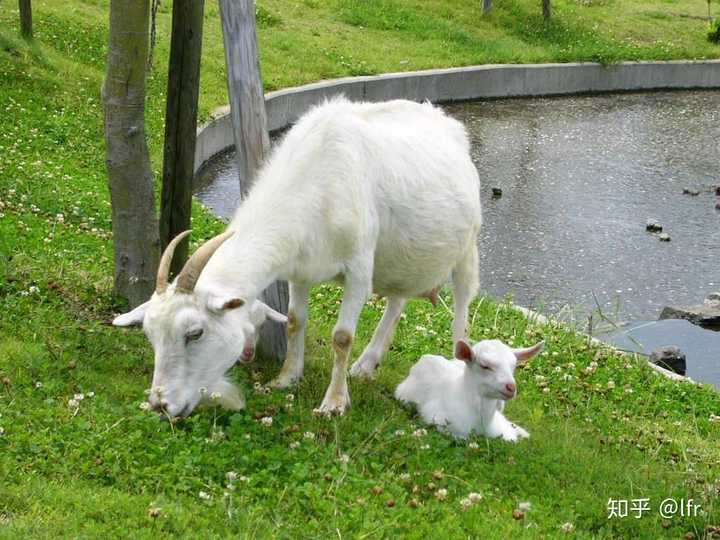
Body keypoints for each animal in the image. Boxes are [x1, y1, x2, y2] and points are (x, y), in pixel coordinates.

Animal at [114, 97, 478, 418]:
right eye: (150, 335)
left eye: (195, 333)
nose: (161, 405)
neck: (318, 181)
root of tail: (444, 119)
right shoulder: (300, 269)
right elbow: (293, 320)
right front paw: (286, 378)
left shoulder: (359, 268)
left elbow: (342, 337)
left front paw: (334, 403)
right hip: (398, 261)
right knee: (398, 299)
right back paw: (366, 365)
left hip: (468, 246)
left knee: (462, 308)